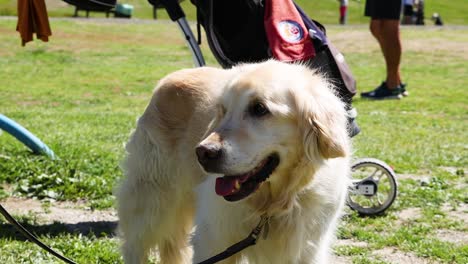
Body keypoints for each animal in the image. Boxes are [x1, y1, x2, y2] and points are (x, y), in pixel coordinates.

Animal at [116, 60, 352, 264]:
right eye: (223, 111)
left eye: (259, 108)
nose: (202, 153)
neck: (271, 206)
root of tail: (170, 78)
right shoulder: (214, 241)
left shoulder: (307, 250)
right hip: (152, 203)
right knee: (135, 245)